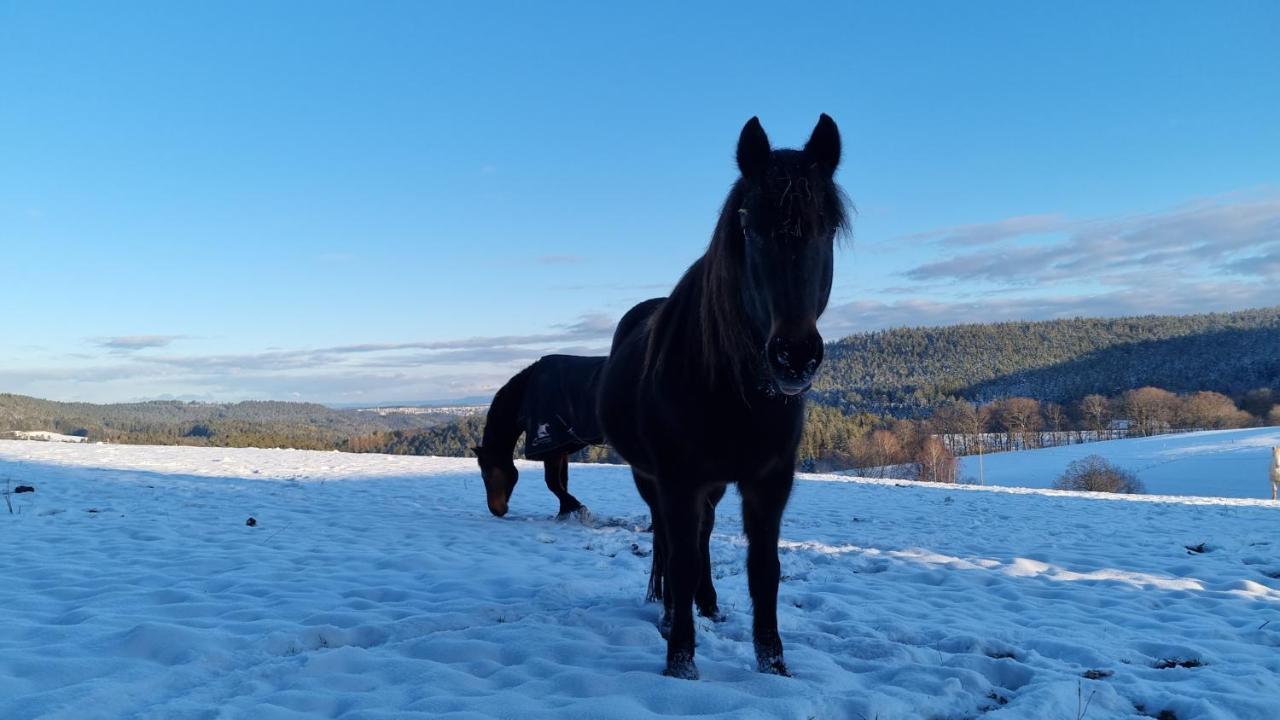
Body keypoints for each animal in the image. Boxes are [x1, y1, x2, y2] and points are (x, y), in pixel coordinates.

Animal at [473, 353, 606, 515]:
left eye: (486, 473)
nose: (495, 510)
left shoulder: (551, 448)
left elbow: (553, 483)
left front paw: (576, 507)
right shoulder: (561, 447)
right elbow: (562, 481)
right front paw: (565, 511)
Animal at [601, 114, 849, 676]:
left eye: (826, 229)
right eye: (749, 228)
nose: (794, 356)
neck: (738, 395)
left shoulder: (770, 481)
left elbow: (764, 568)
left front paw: (773, 665)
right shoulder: (676, 479)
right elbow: (681, 559)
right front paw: (680, 663)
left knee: (704, 533)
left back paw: (708, 604)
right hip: (652, 478)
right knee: (669, 542)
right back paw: (671, 613)